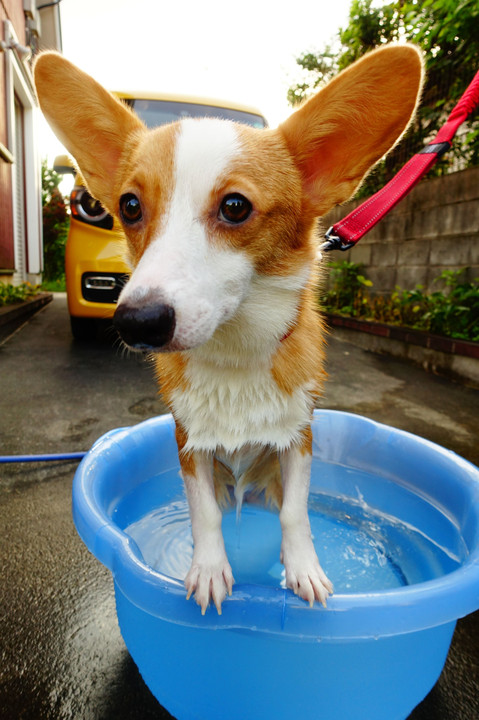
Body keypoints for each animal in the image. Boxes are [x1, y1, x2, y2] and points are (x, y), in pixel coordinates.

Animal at [33, 45, 424, 612]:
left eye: (235, 206)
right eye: (129, 206)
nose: (137, 322)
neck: (234, 351)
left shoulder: (298, 439)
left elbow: (296, 513)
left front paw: (303, 570)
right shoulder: (190, 444)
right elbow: (206, 517)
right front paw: (210, 570)